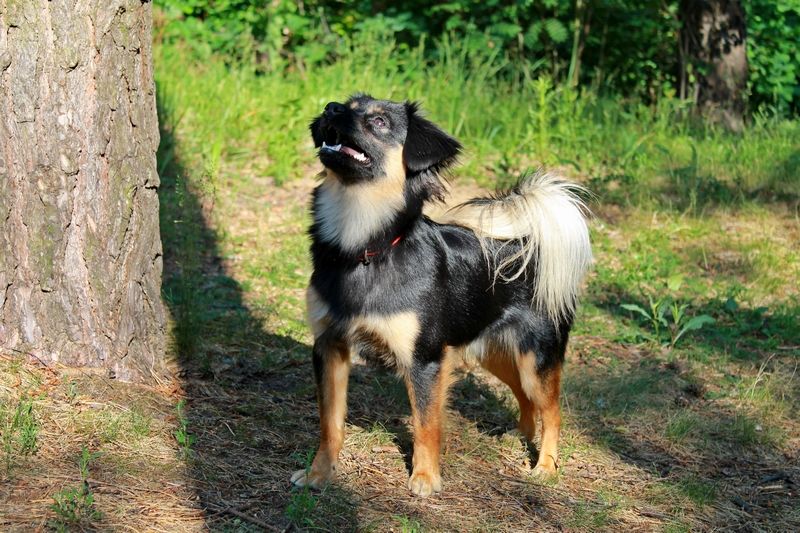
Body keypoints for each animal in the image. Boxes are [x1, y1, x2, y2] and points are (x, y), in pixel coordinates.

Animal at [291, 94, 592, 497]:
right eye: (348, 105)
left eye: (379, 122)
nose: (331, 106)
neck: (365, 246)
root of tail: (529, 246)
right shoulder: (330, 346)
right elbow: (330, 423)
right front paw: (319, 474)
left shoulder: (426, 359)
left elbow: (426, 423)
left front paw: (425, 478)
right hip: (492, 352)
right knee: (524, 396)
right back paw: (518, 435)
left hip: (535, 358)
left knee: (552, 410)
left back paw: (545, 466)